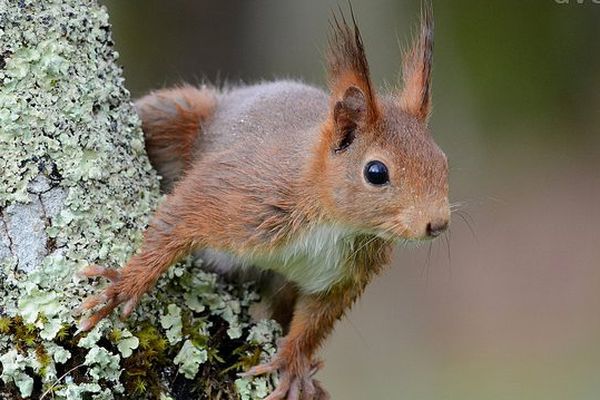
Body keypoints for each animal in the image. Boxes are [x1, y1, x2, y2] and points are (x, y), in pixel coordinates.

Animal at [79, 5, 448, 400]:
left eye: (443, 161)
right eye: (376, 172)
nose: (438, 223)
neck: (334, 223)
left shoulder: (342, 275)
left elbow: (315, 320)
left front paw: (293, 364)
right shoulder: (247, 193)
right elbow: (182, 216)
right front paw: (125, 284)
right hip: (178, 115)